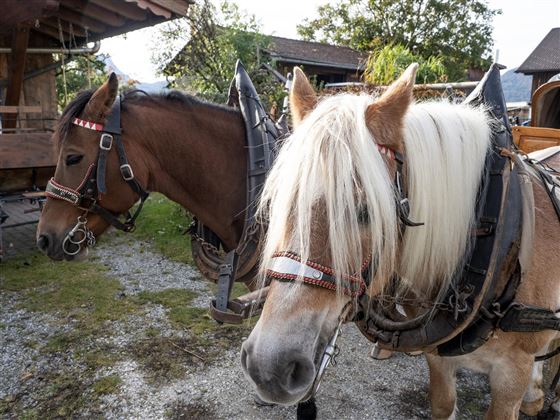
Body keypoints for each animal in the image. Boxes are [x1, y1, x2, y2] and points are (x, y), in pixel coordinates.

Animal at [242, 65, 560, 416]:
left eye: (366, 211)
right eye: (277, 202)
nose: (269, 368)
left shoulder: (511, 375)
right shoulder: (438, 361)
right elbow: (444, 404)